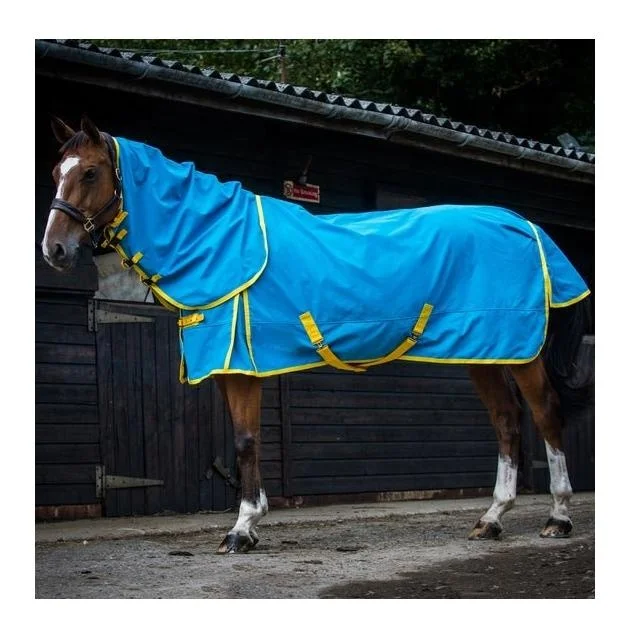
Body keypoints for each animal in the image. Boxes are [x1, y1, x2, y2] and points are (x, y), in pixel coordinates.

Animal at [41, 116, 591, 554]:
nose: (55, 250)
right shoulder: (226, 362)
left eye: (90, 172)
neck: (216, 239)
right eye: (55, 173)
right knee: (506, 422)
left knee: (545, 415)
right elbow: (244, 439)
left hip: (519, 353)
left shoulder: (241, 365)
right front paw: (251, 522)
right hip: (483, 352)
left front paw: (242, 530)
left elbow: (244, 441)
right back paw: (491, 519)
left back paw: (557, 518)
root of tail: (527, 225)